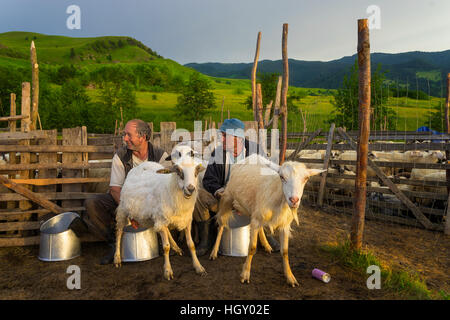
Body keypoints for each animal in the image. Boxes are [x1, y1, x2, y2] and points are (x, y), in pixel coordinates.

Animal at [209, 155, 326, 288]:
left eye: (306, 178)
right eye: (282, 177)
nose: (294, 200)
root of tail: (250, 157)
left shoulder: (284, 225)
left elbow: (285, 251)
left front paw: (290, 277)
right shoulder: (255, 220)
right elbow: (252, 247)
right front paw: (245, 274)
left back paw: (267, 245)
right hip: (227, 198)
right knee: (221, 225)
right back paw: (214, 252)